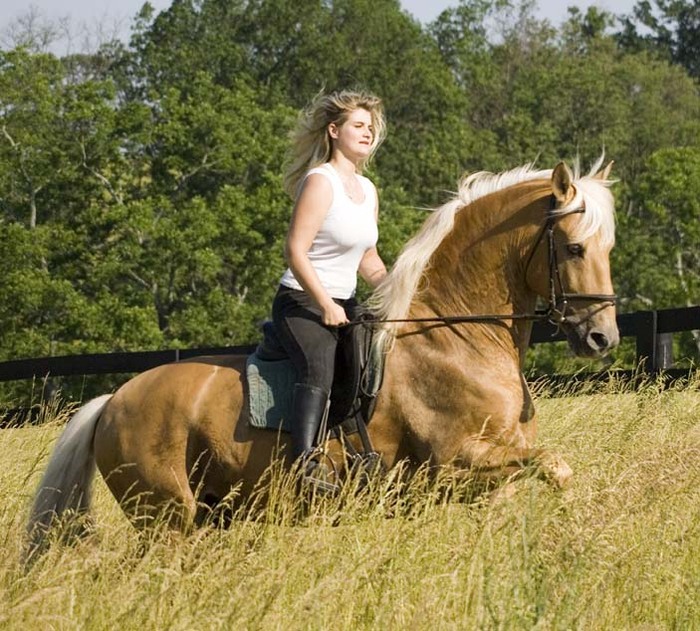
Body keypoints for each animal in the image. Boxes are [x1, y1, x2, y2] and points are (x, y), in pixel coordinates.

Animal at [26, 159, 616, 552]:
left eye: (606, 248)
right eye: (574, 248)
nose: (602, 338)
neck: (455, 336)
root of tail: (112, 401)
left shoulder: (491, 474)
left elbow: (541, 480)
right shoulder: (456, 465)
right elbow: (558, 468)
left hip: (209, 516)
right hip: (166, 518)